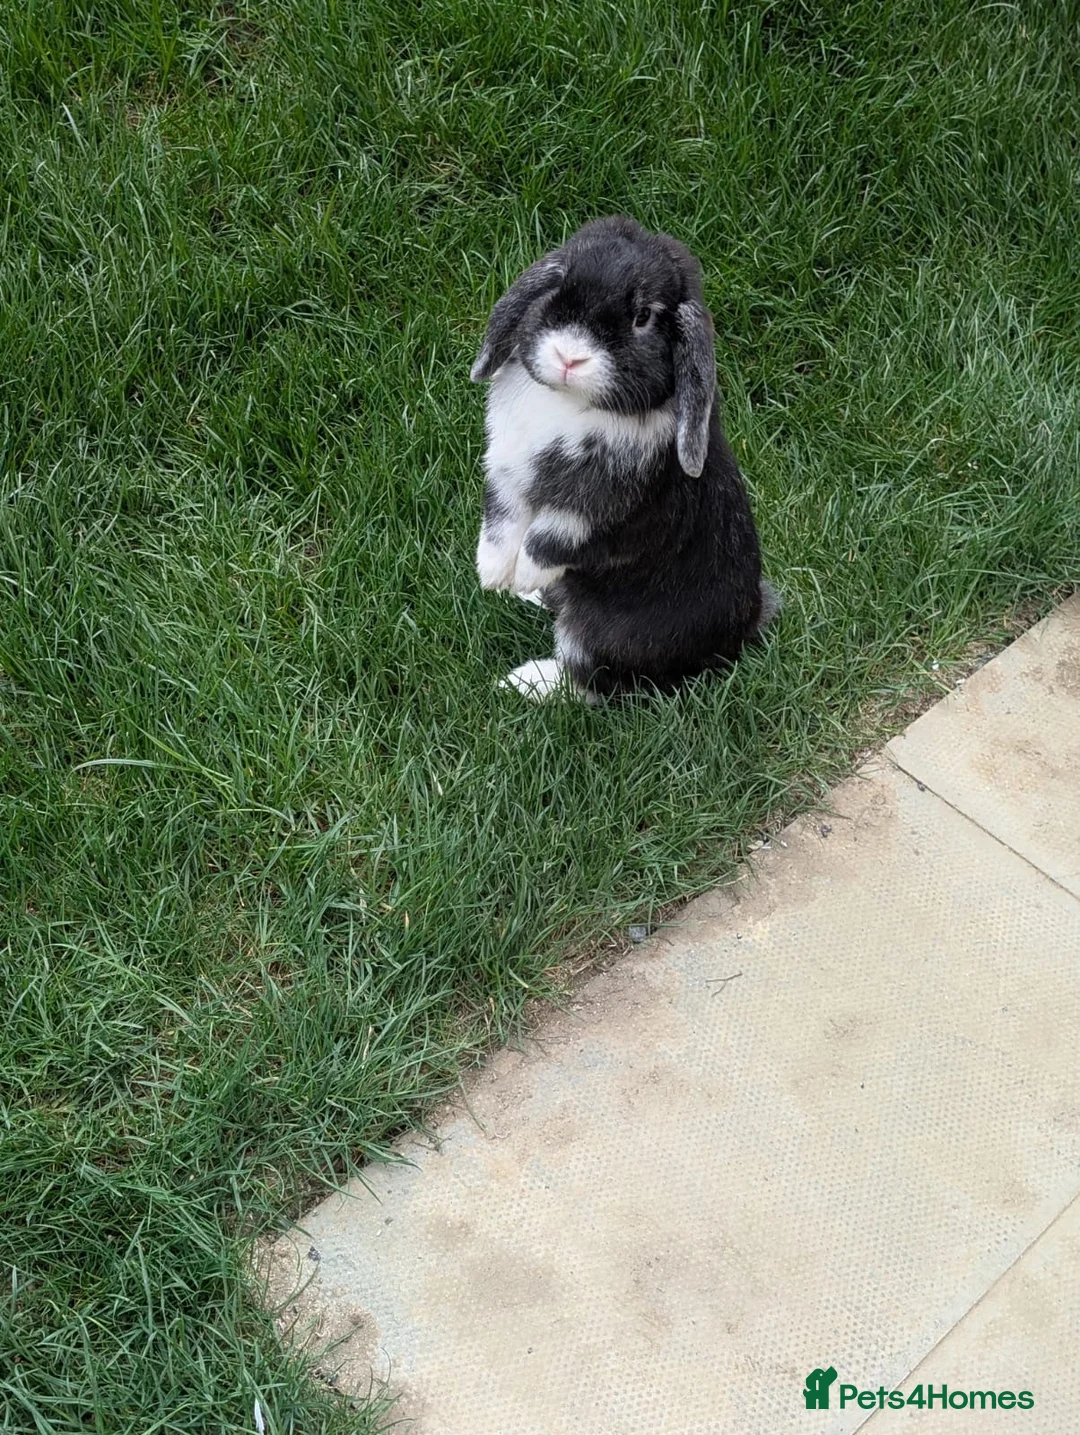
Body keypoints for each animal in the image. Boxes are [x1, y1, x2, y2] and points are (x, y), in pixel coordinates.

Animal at [470, 214, 779, 700]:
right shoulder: (507, 473)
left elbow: (549, 539)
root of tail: (738, 635)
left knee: (594, 681)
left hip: (598, 632)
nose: (569, 357)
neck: (572, 404)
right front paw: (495, 577)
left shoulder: (594, 507)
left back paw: (527, 680)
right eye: (560, 288)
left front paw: (523, 576)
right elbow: (501, 525)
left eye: (643, 316)